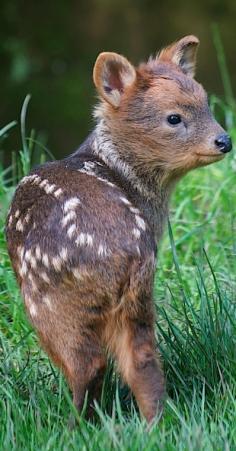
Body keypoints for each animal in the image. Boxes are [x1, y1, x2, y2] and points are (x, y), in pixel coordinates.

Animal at [5, 34, 232, 424]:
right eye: (174, 117)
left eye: (205, 104)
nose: (224, 141)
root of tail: (125, 253)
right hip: (138, 300)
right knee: (143, 361)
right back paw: (153, 424)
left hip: (50, 302)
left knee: (87, 364)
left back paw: (76, 425)